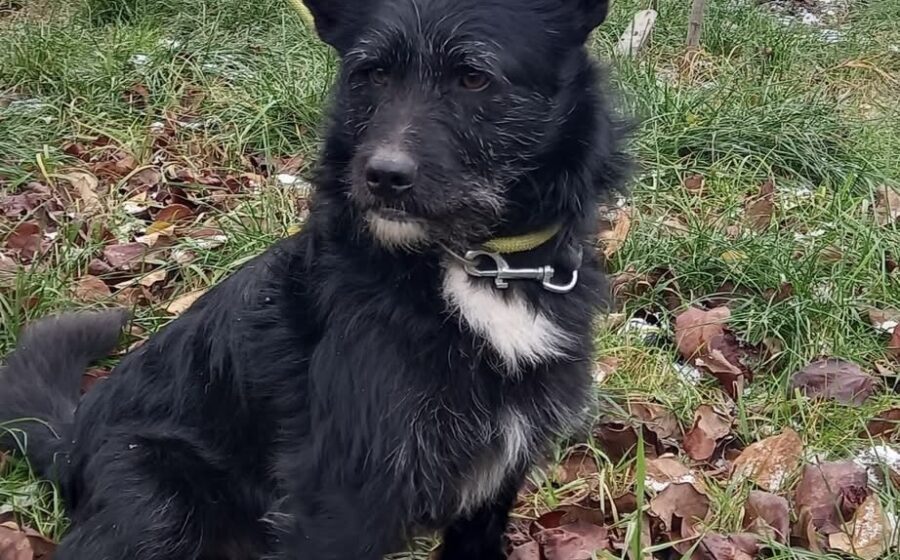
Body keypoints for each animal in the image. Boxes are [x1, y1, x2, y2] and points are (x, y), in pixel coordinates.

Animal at [0, 0, 629, 558]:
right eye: (370, 73)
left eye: (474, 77)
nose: (383, 177)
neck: (475, 265)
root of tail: (73, 439)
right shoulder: (340, 498)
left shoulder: (494, 484)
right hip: (159, 501)